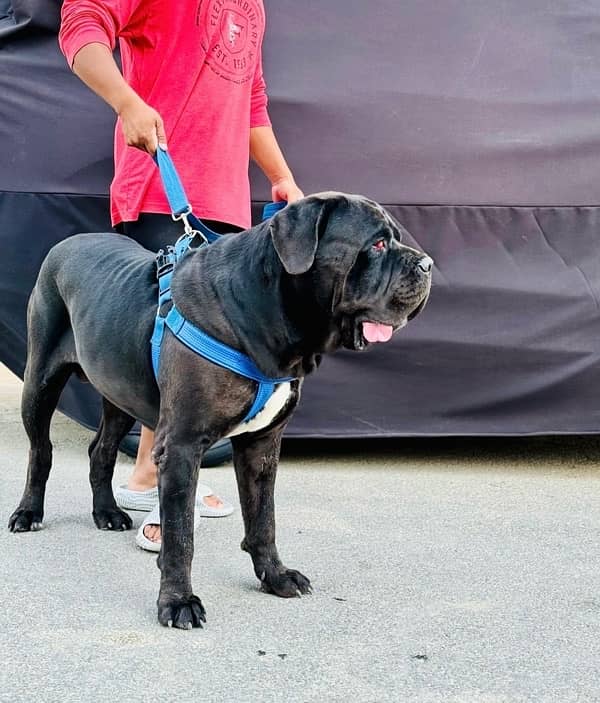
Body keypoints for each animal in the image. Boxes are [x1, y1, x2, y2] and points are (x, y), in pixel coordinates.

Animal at [9, 194, 432, 632]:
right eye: (377, 244)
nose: (427, 264)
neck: (269, 313)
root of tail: (65, 243)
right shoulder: (181, 445)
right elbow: (181, 535)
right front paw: (178, 601)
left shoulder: (261, 445)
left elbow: (263, 518)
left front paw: (275, 576)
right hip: (40, 381)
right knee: (41, 451)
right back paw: (28, 512)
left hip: (119, 391)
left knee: (102, 450)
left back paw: (107, 512)